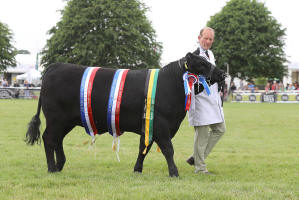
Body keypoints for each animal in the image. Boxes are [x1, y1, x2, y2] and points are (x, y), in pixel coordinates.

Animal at [25, 52, 226, 177]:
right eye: (202, 63)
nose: (223, 73)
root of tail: (55, 66)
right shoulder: (161, 124)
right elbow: (168, 149)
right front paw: (174, 172)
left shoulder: (150, 126)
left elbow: (143, 148)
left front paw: (137, 169)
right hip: (56, 119)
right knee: (49, 138)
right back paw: (52, 168)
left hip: (67, 121)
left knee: (57, 140)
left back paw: (60, 165)